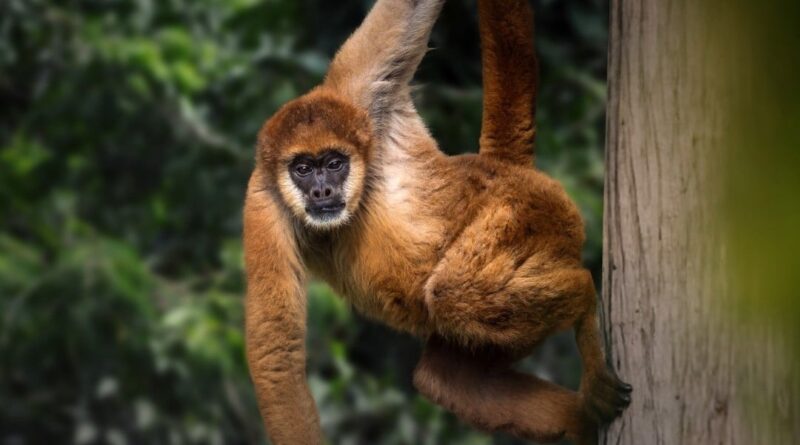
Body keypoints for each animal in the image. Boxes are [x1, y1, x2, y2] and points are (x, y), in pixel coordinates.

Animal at [243, 1, 631, 444]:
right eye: (303, 169)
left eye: (334, 163)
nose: (322, 191)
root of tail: (501, 169)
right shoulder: (263, 201)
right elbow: (276, 354)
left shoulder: (358, 98)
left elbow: (409, 10)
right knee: (447, 377)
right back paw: (582, 416)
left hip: (525, 213)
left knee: (454, 292)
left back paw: (583, 296)